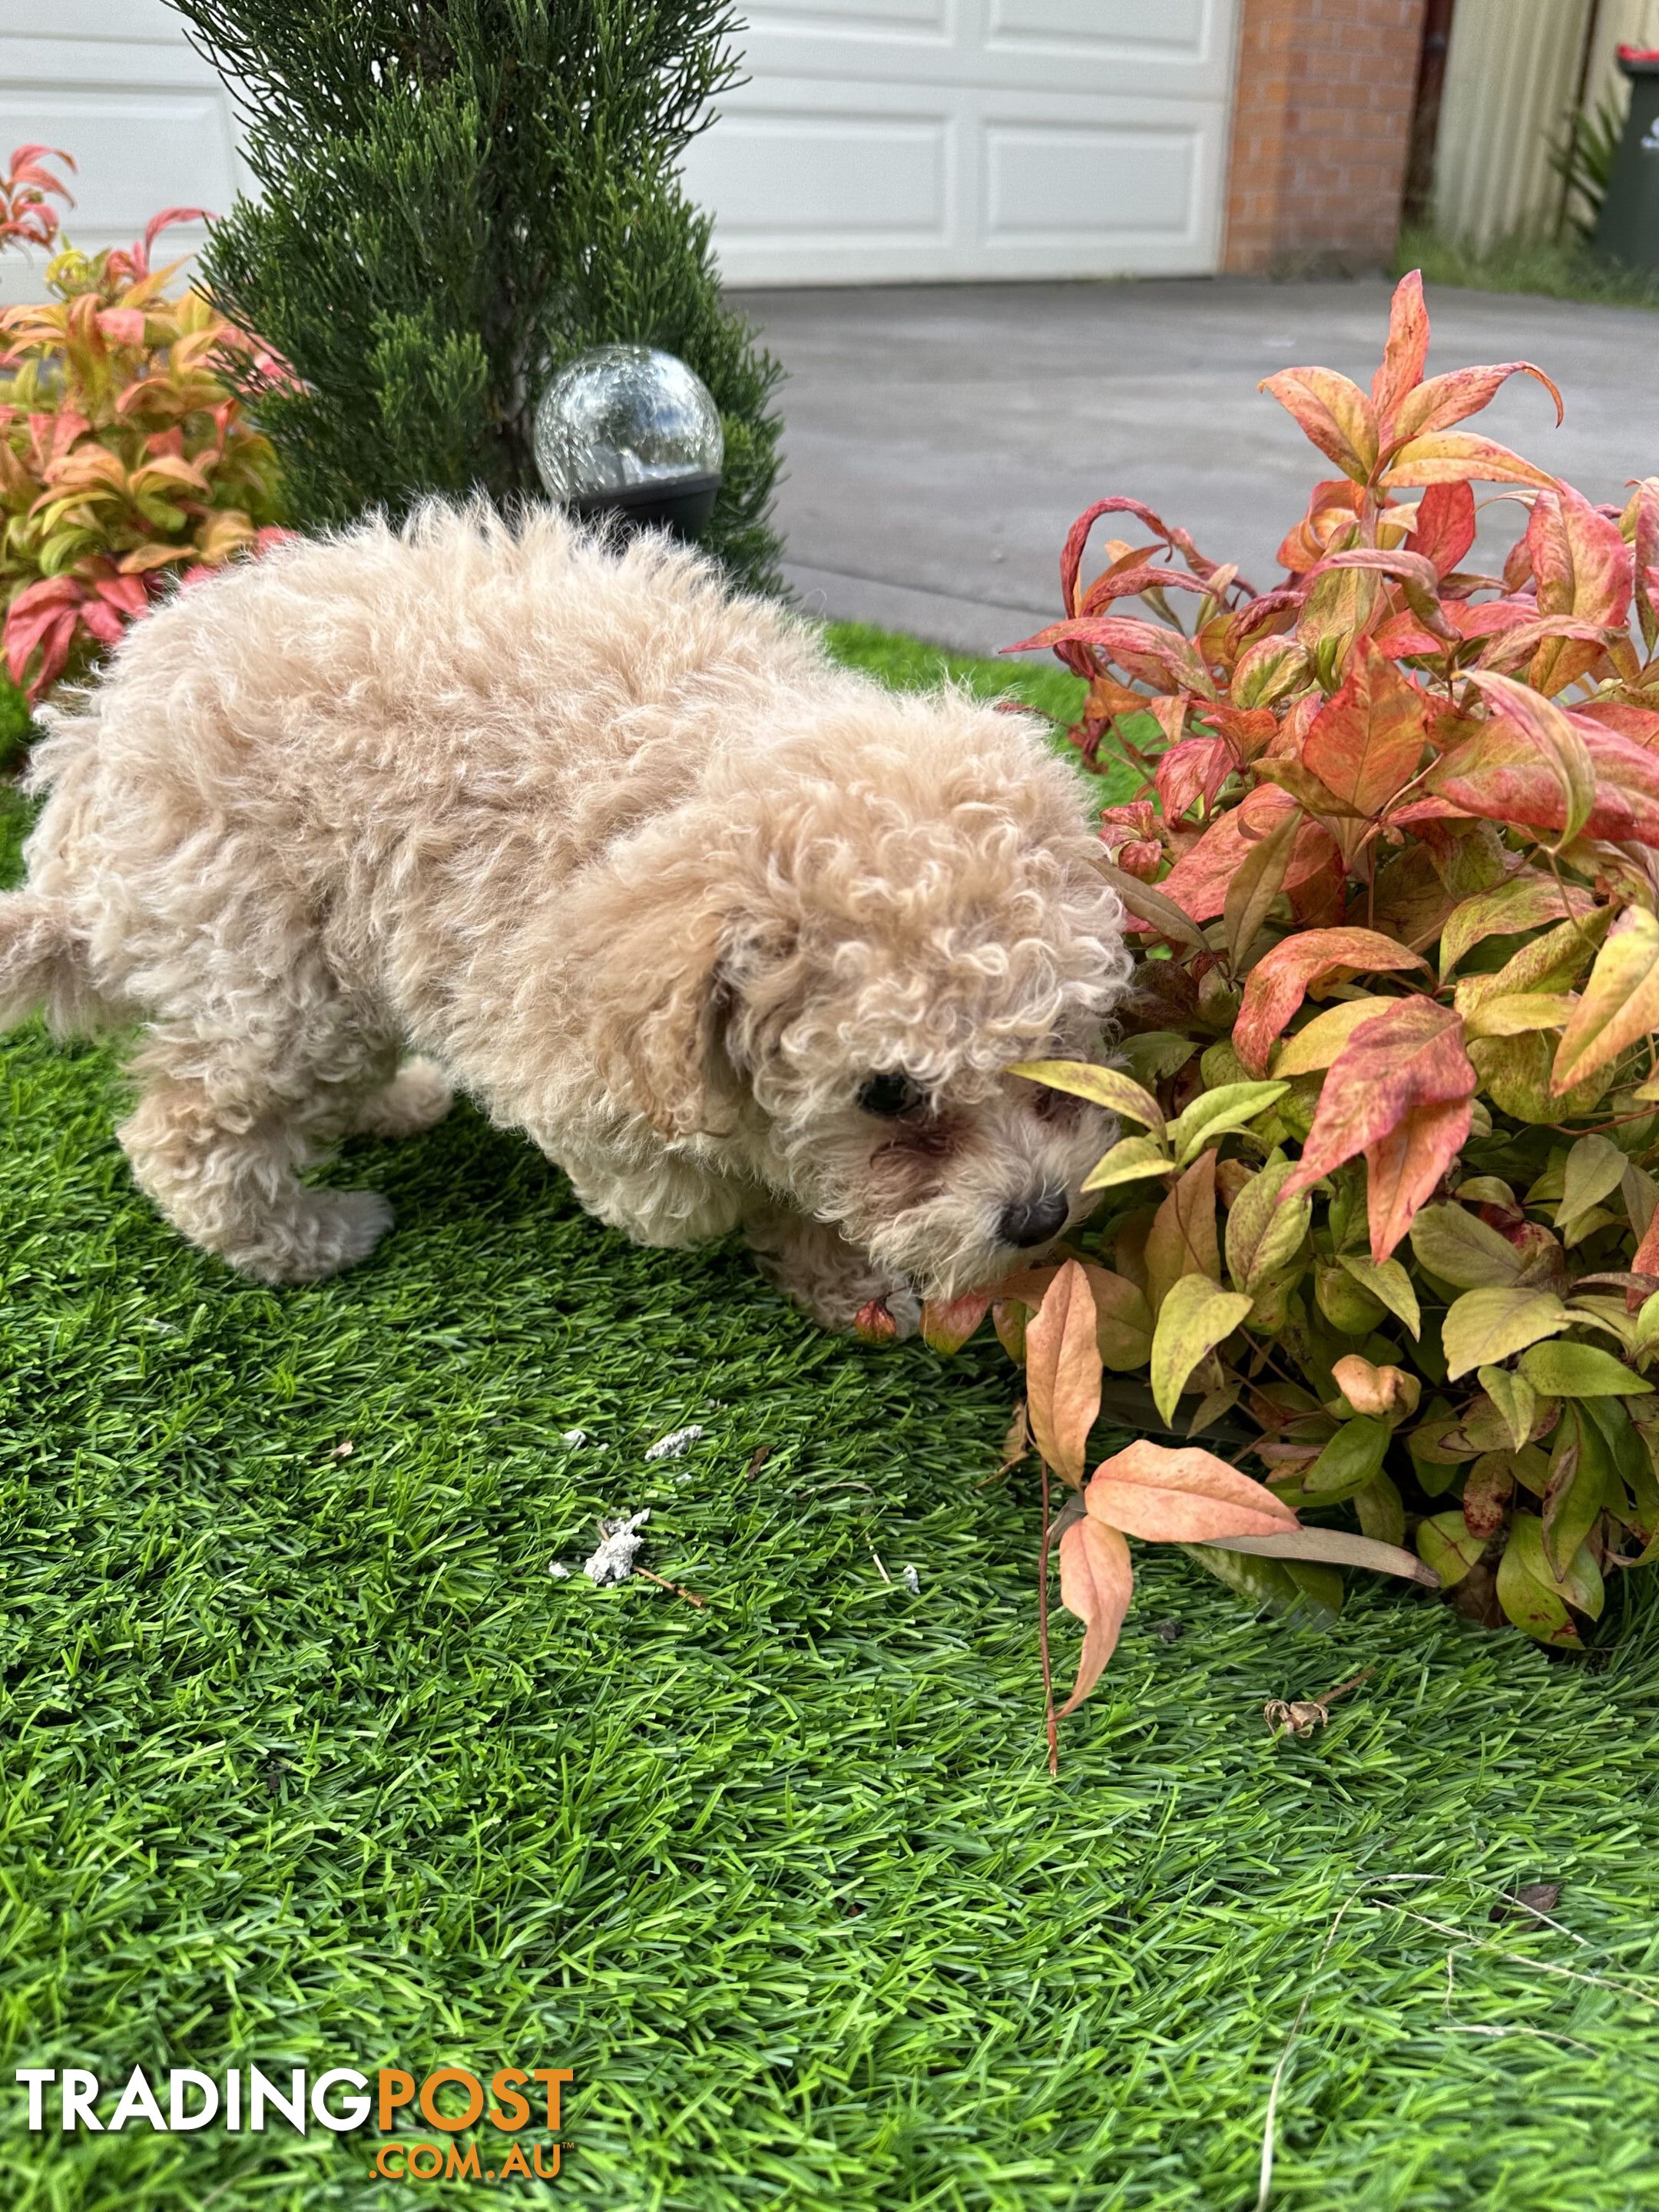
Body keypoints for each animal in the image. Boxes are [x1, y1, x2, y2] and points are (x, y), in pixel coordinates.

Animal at [0, 506, 1132, 1327]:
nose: (1041, 1216)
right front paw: (815, 1239)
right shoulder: (568, 1054)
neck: (683, 784)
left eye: (1060, 1043)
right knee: (185, 1128)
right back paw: (307, 1240)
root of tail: (92, 740)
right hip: (275, 967)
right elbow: (717, 1189)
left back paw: (394, 1104)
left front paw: (846, 1276)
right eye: (888, 1092)